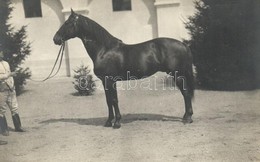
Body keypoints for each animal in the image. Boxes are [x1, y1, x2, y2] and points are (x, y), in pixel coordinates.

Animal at [53, 9, 195, 129]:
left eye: (67, 23)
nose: (55, 39)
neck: (104, 50)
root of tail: (183, 44)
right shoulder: (105, 81)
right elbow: (108, 101)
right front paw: (108, 122)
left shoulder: (110, 80)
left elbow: (114, 100)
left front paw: (117, 123)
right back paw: (186, 117)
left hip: (177, 74)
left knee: (186, 94)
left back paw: (187, 118)